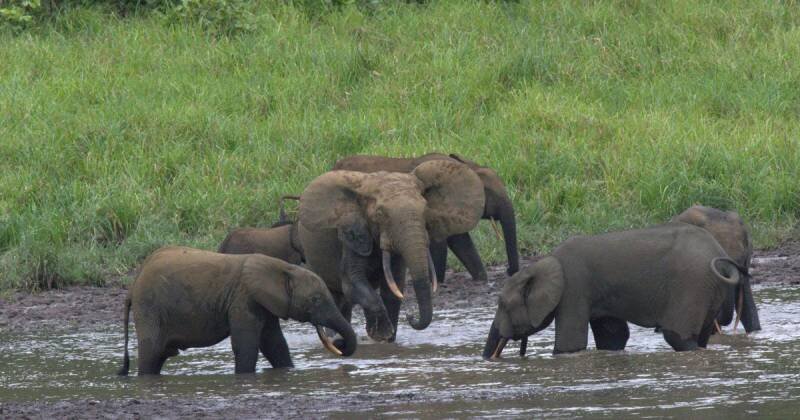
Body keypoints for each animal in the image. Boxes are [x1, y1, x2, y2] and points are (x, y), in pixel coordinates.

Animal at [117, 246, 356, 376]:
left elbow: (275, 344)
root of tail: (133, 286)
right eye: (315, 300)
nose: (339, 343)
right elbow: (247, 344)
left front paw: (287, 372)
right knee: (152, 352)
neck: (283, 267)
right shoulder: (244, 299)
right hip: (149, 307)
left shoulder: (263, 303)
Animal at [298, 159, 485, 342]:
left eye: (425, 210)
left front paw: (387, 341)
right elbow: (353, 283)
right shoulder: (352, 234)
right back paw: (335, 339)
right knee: (333, 296)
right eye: (380, 214)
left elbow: (394, 287)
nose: (410, 316)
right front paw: (381, 334)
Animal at [333, 152, 519, 282]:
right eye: (490, 193)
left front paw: (481, 279)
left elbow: (461, 243)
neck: (465, 167)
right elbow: (440, 244)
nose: (509, 271)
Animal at [483, 223, 741, 358]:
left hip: (692, 285)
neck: (542, 263)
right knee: (700, 337)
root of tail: (720, 256)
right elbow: (612, 338)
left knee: (677, 336)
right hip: (709, 289)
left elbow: (569, 346)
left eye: (503, 304)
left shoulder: (574, 289)